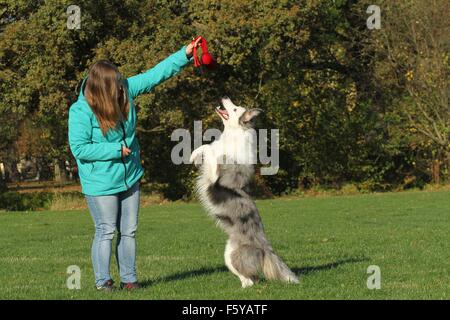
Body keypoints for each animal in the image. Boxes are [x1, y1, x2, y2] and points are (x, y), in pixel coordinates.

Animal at [190, 96, 298, 286]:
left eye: (235, 109)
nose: (225, 97)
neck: (233, 134)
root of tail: (265, 246)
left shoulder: (215, 174)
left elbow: (210, 149)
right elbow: (206, 146)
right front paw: (194, 156)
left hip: (234, 255)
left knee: (251, 280)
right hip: (228, 254)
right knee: (251, 278)